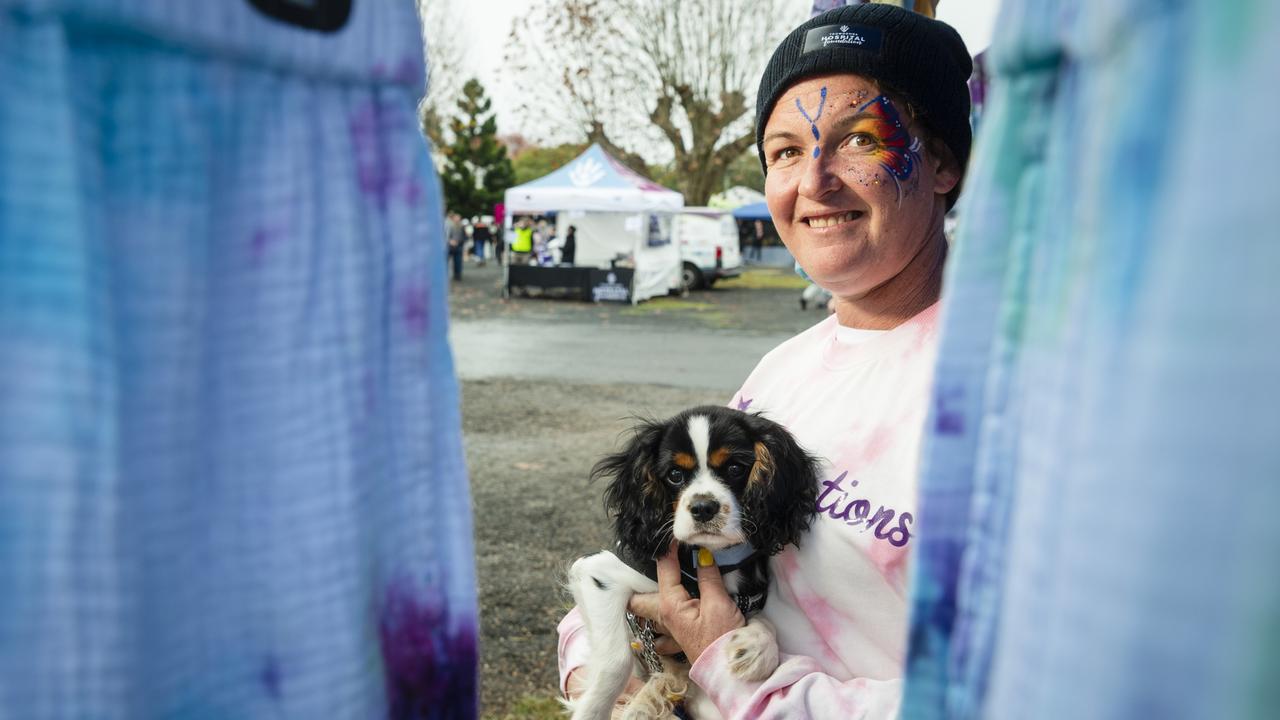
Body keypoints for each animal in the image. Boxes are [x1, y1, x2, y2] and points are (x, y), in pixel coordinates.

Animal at [563, 404, 819, 717]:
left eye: (735, 468)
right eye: (675, 474)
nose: (703, 507)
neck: (711, 555)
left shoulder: (749, 597)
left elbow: (765, 622)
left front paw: (757, 648)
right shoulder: (599, 573)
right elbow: (615, 662)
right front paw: (593, 711)